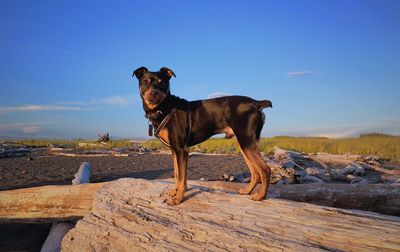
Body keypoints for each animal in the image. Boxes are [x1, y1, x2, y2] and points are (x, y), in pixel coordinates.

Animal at [133, 67, 274, 205]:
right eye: (145, 83)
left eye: (162, 83)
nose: (153, 93)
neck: (164, 108)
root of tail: (256, 103)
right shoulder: (174, 150)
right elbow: (177, 174)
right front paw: (174, 192)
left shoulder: (182, 150)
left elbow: (182, 177)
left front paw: (178, 199)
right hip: (244, 144)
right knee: (255, 172)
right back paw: (247, 191)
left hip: (247, 142)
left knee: (265, 169)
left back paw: (260, 196)